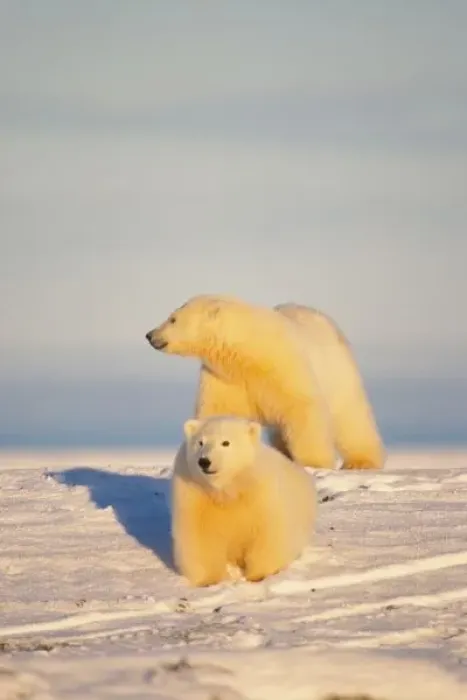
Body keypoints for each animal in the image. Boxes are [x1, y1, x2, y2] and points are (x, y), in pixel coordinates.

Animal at [145, 294, 385, 471]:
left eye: (173, 318)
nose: (149, 334)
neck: (246, 353)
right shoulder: (225, 378)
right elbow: (219, 410)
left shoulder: (284, 364)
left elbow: (302, 408)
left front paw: (312, 463)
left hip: (338, 373)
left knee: (351, 417)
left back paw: (361, 461)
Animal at [171, 415, 317, 587]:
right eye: (200, 442)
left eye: (225, 442)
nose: (204, 461)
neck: (227, 490)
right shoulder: (196, 496)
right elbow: (201, 537)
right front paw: (209, 580)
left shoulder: (261, 494)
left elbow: (267, 534)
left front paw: (259, 575)